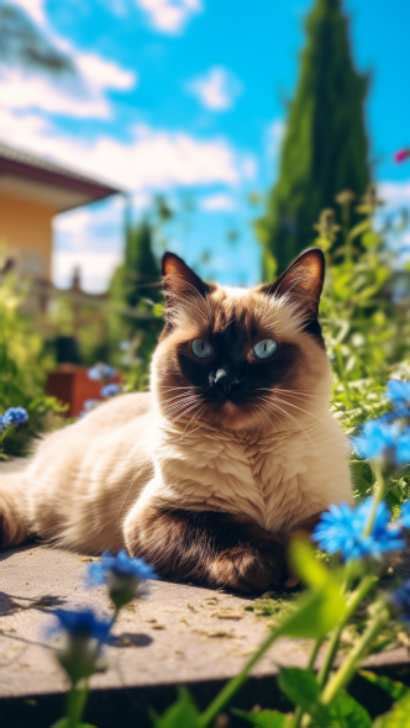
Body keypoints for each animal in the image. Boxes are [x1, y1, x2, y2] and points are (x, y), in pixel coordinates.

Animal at [0, 250, 352, 592]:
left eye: (264, 349)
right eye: (201, 348)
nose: (224, 381)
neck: (253, 452)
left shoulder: (334, 511)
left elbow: (313, 537)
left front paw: (299, 568)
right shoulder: (160, 515)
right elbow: (223, 528)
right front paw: (262, 564)